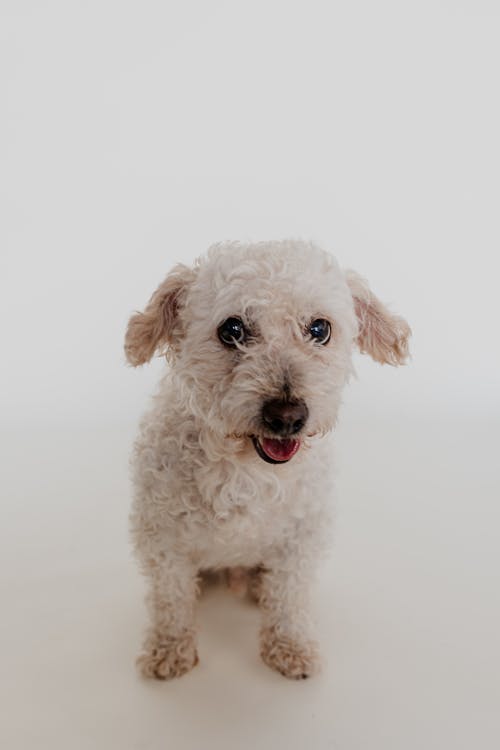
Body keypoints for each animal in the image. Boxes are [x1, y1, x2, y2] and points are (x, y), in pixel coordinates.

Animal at [125, 241, 410, 680]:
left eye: (320, 329)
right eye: (232, 330)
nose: (287, 416)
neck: (247, 471)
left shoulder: (301, 539)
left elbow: (289, 598)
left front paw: (289, 647)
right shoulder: (163, 541)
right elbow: (171, 600)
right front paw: (170, 649)